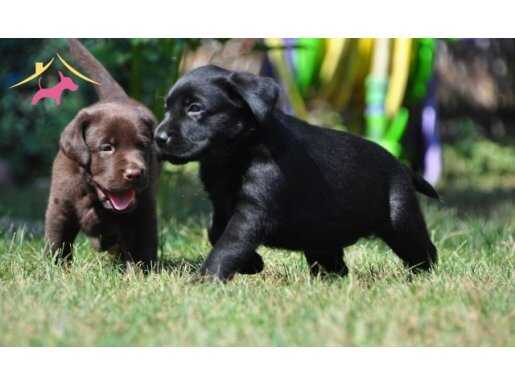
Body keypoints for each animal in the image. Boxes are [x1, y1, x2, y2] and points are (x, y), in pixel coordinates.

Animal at [44, 37, 159, 268]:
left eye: (142, 145)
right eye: (107, 147)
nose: (135, 174)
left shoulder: (143, 210)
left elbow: (142, 245)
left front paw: (142, 272)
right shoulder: (60, 208)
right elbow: (58, 242)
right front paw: (54, 270)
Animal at [154, 63, 440, 280]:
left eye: (195, 107)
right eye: (166, 108)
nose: (158, 137)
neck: (234, 153)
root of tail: (401, 165)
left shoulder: (253, 211)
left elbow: (229, 243)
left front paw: (206, 279)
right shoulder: (222, 203)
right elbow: (215, 231)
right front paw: (253, 263)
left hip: (401, 220)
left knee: (424, 250)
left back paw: (421, 277)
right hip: (322, 235)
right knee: (333, 263)